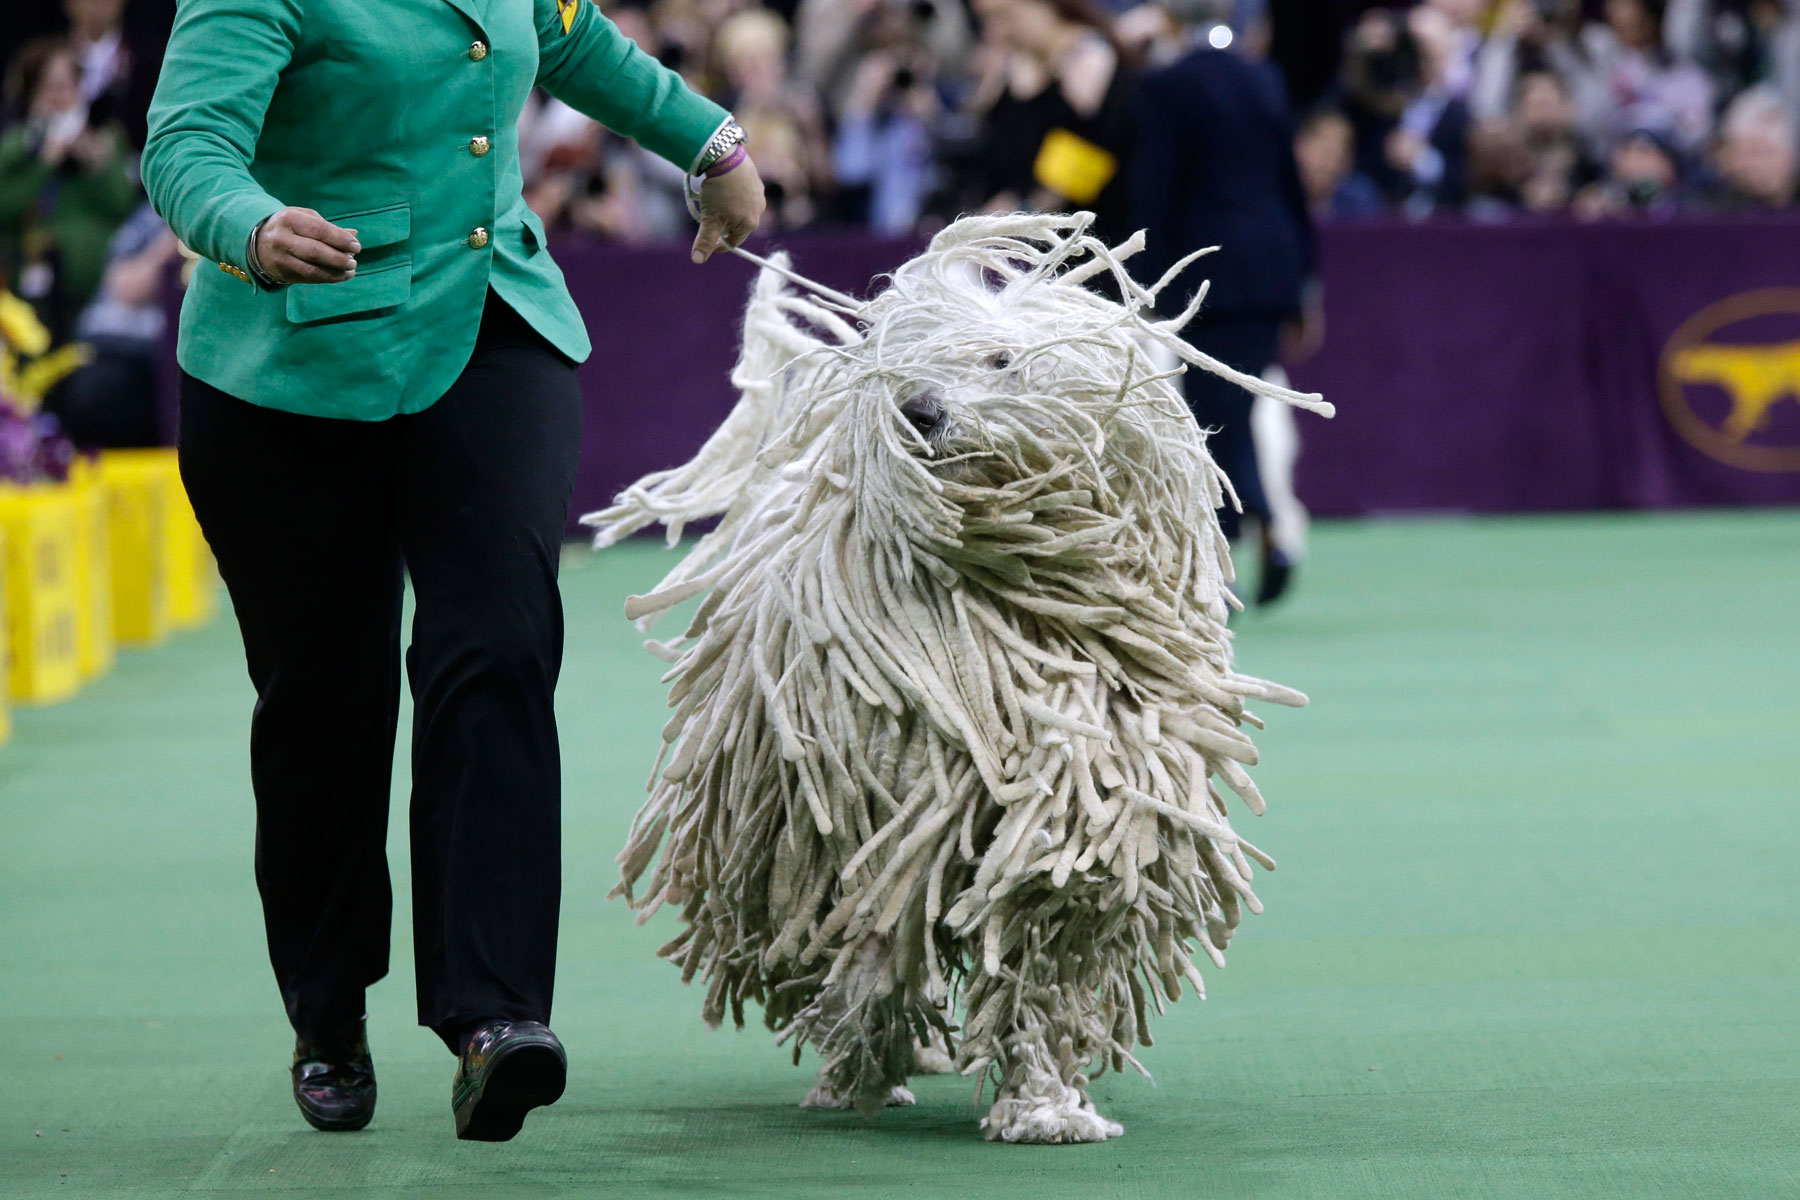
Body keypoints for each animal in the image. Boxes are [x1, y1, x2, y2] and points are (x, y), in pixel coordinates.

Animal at [583, 213, 1332, 1144]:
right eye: (906, 367)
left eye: (1001, 360)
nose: (922, 410)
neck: (1019, 604)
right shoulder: (880, 797)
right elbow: (875, 922)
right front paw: (866, 1062)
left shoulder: (1095, 778)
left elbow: (1051, 917)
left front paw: (1044, 1101)